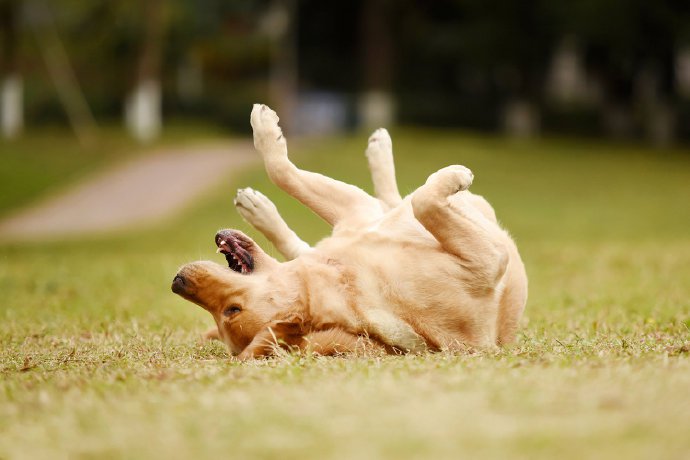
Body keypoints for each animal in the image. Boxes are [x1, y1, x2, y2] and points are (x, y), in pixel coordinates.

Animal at [172, 104, 528, 360]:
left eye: (231, 311)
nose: (178, 282)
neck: (342, 275)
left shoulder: (353, 211)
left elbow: (282, 173)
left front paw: (265, 131)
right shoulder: (487, 259)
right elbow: (425, 201)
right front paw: (456, 175)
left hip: (362, 212)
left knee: (385, 202)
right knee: (398, 200)